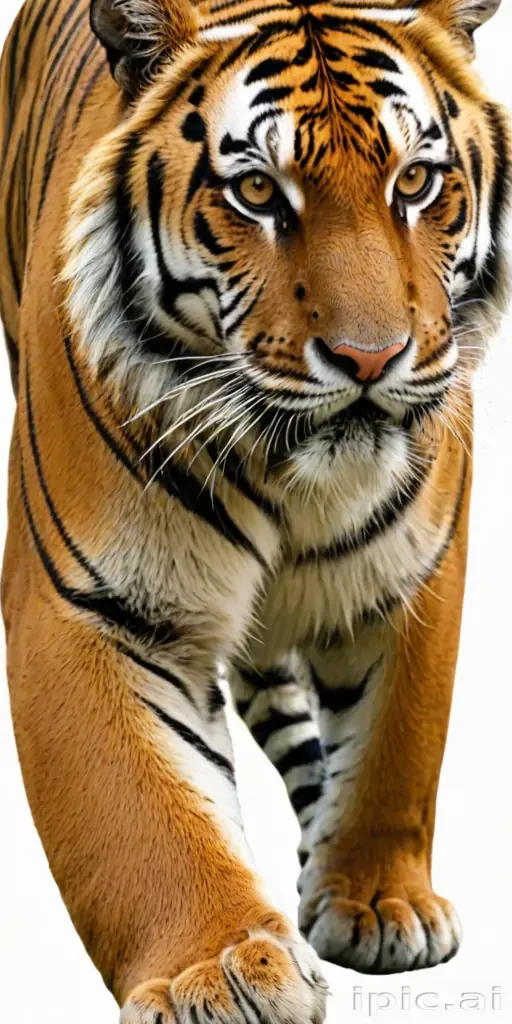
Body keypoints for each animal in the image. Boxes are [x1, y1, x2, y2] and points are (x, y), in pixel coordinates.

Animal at [0, 0, 510, 1018]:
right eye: (257, 193)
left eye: (416, 181)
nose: (370, 358)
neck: (294, 475)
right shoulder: (87, 608)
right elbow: (140, 811)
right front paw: (220, 965)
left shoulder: (418, 569)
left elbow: (398, 746)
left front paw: (379, 903)